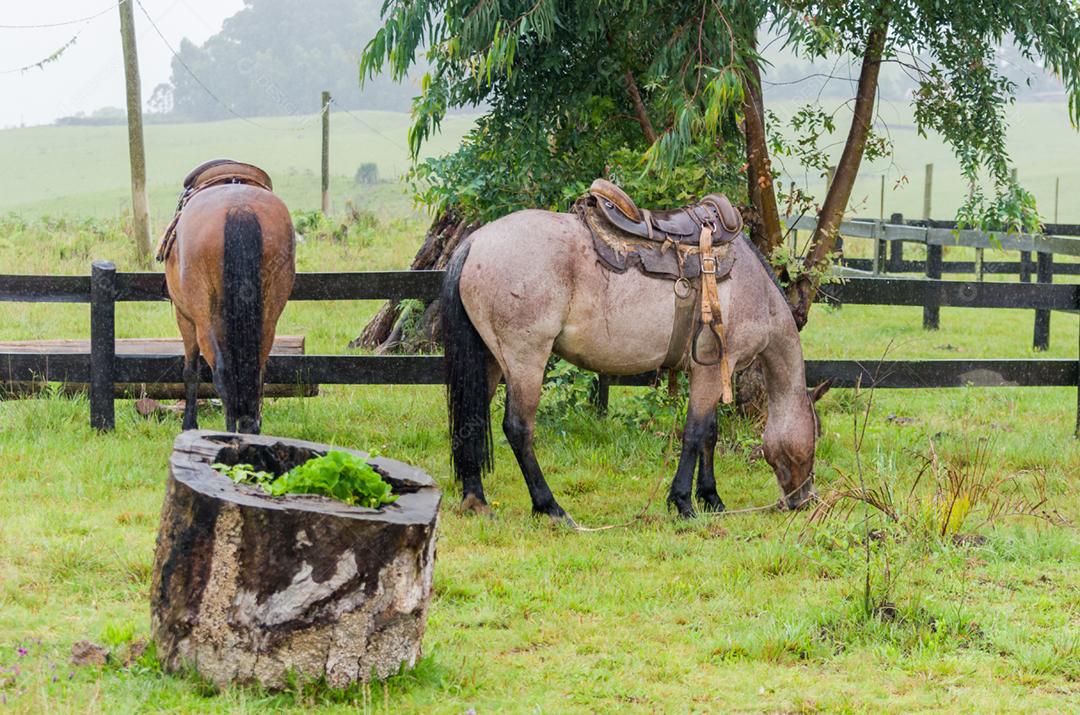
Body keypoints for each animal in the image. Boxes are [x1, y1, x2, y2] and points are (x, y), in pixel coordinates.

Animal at [162, 160, 295, 434]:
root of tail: (239, 208)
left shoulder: (185, 318)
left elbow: (191, 371)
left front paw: (189, 425)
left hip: (202, 318)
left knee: (222, 372)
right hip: (268, 315)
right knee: (255, 367)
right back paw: (249, 427)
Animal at [441, 200, 818, 523]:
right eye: (815, 436)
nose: (804, 499)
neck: (753, 289)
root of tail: (474, 242)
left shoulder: (707, 375)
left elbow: (709, 433)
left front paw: (711, 499)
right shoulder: (711, 371)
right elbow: (695, 434)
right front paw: (683, 502)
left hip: (490, 361)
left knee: (471, 420)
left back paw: (476, 501)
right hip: (525, 361)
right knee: (518, 429)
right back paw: (550, 507)